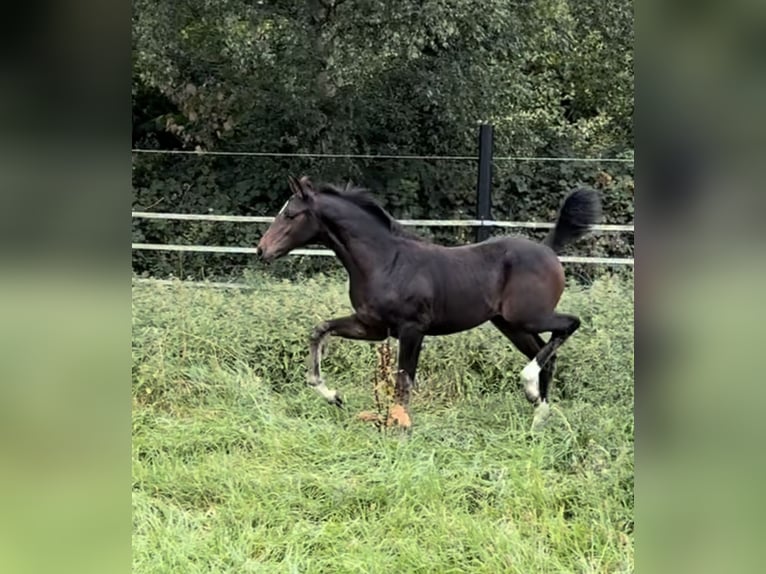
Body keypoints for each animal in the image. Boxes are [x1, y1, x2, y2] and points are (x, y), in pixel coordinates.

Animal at [256, 175, 601, 429]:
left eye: (290, 214)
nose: (262, 250)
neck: (385, 261)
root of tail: (548, 249)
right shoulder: (372, 327)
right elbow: (320, 330)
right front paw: (333, 396)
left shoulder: (412, 329)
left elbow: (403, 382)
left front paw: (400, 429)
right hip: (510, 325)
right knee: (548, 353)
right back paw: (538, 417)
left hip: (528, 316)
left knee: (570, 324)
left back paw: (529, 387)